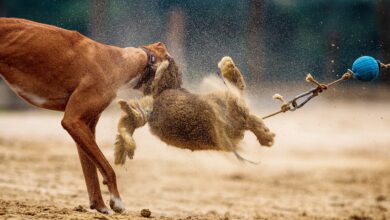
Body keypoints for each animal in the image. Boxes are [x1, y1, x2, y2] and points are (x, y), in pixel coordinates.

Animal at [0, 18, 171, 214]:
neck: (119, 62)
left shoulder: (84, 126)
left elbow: (91, 171)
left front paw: (100, 205)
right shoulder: (73, 121)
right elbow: (107, 167)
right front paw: (117, 201)